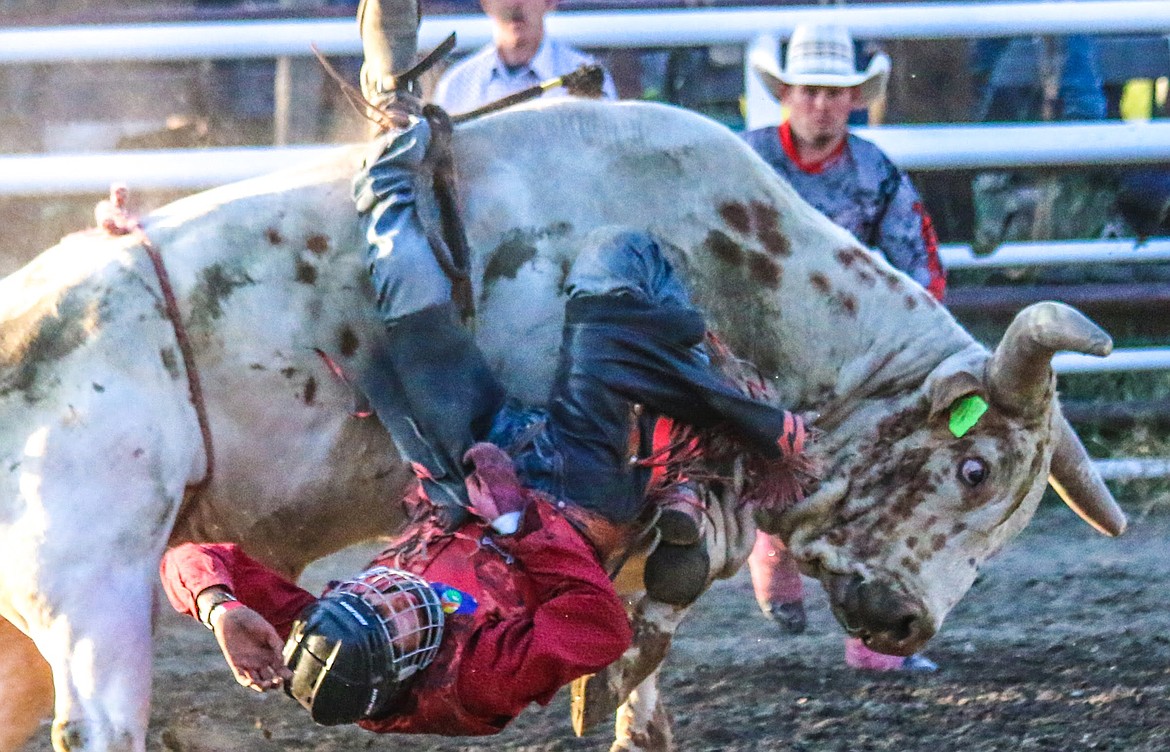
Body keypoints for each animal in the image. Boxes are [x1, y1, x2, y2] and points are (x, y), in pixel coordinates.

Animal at [0, 99, 1118, 752]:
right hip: (92, 591)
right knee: (95, 725)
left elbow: (655, 610)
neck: (745, 266)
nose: (905, 624)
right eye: (975, 469)